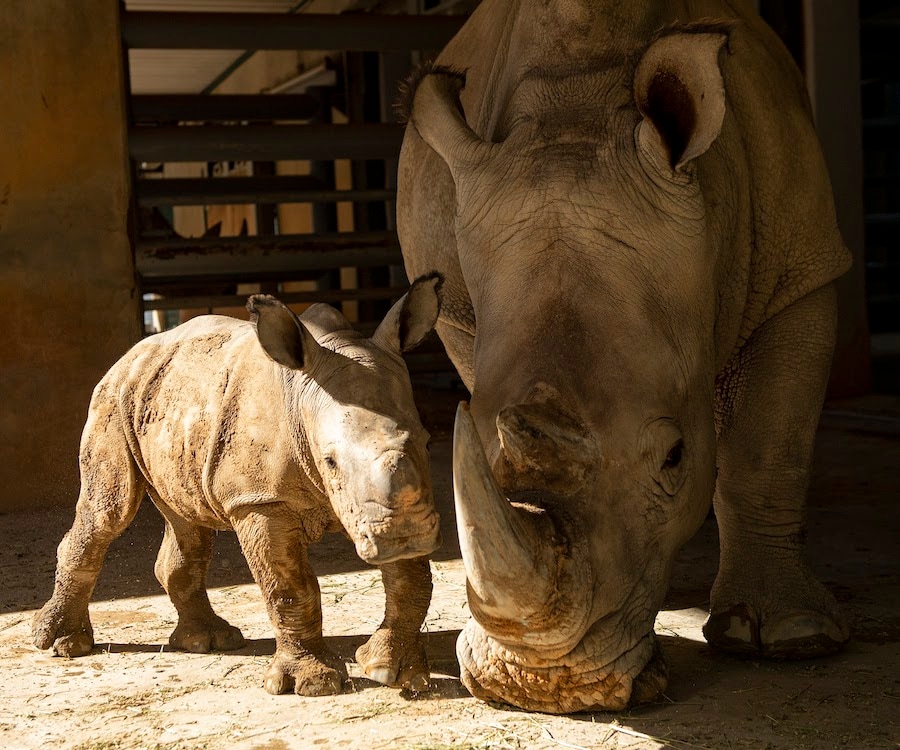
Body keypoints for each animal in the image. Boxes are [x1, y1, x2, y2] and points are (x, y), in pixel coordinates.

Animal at [34, 274, 442, 696]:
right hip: (112, 400)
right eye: (329, 461)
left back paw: (209, 641)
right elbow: (289, 588)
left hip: (169, 408)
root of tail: (131, 354)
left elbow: (409, 579)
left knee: (185, 520)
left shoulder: (390, 497)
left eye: (428, 442)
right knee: (108, 512)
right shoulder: (259, 501)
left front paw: (393, 671)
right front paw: (312, 684)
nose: (403, 535)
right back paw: (63, 644)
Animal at [400, 0, 852, 716]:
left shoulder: (803, 271)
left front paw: (792, 636)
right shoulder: (461, 311)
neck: (580, 106)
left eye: (673, 458)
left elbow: (767, 448)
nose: (542, 687)